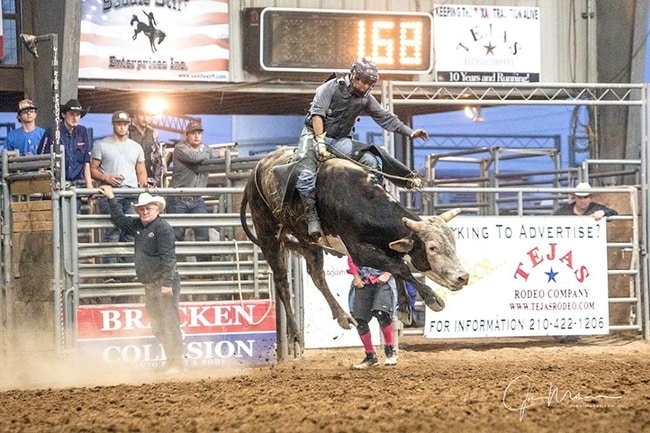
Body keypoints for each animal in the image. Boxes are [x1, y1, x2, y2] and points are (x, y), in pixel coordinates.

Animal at [238, 148, 466, 348]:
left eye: (453, 243)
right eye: (433, 248)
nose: (463, 277)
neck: (362, 199)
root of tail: (253, 175)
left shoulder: (385, 246)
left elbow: (397, 266)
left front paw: (403, 308)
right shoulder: (358, 251)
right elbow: (400, 267)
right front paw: (432, 298)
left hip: (308, 239)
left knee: (317, 276)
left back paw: (342, 317)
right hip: (268, 234)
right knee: (282, 282)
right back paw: (295, 334)